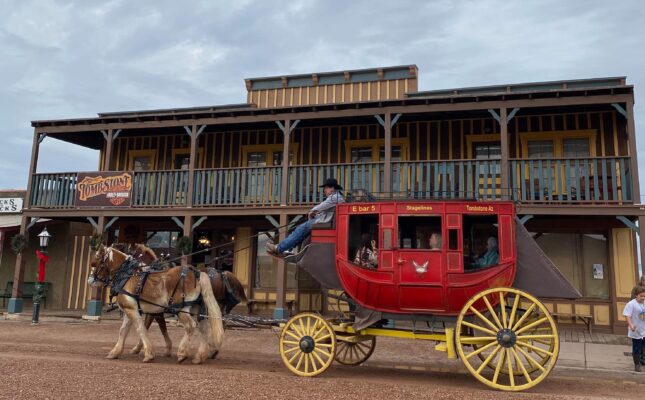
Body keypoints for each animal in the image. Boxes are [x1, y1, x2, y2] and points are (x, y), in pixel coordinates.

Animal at [88, 245, 224, 364]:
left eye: (95, 262)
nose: (90, 280)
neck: (127, 276)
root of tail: (197, 273)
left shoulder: (134, 310)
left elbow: (141, 328)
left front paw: (148, 354)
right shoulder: (130, 309)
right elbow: (123, 331)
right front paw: (114, 352)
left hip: (181, 309)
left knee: (190, 326)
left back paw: (182, 353)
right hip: (195, 308)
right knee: (204, 327)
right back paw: (199, 357)